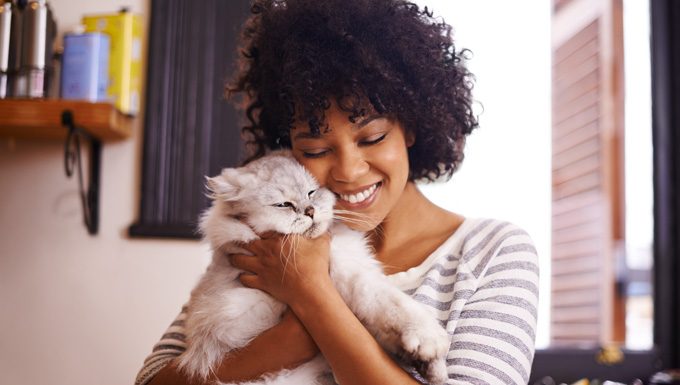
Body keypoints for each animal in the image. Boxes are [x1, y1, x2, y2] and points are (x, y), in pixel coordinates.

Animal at [178, 150, 448, 384]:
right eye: (283, 205)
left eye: (311, 192)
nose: (309, 211)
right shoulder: (350, 277)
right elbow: (394, 306)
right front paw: (428, 342)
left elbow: (389, 323)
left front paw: (431, 366)